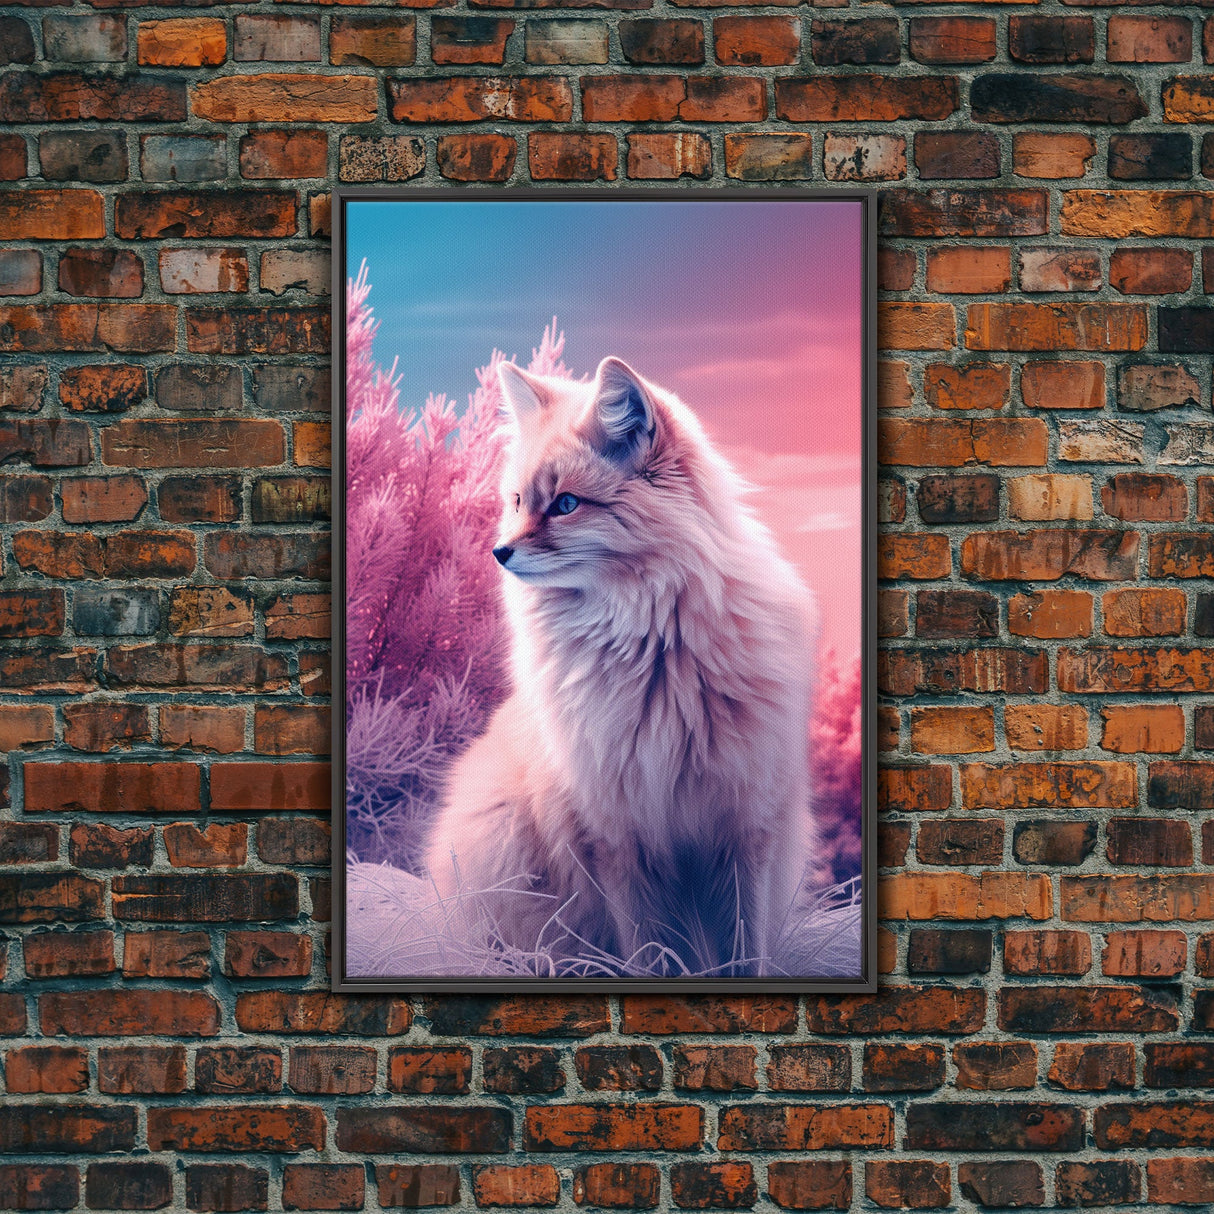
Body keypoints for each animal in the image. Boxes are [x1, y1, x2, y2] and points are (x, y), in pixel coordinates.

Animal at [423, 356, 816, 976]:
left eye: (565, 504)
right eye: (517, 502)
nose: (499, 553)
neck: (656, 670)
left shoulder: (743, 827)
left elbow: (741, 952)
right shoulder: (616, 838)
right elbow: (650, 954)